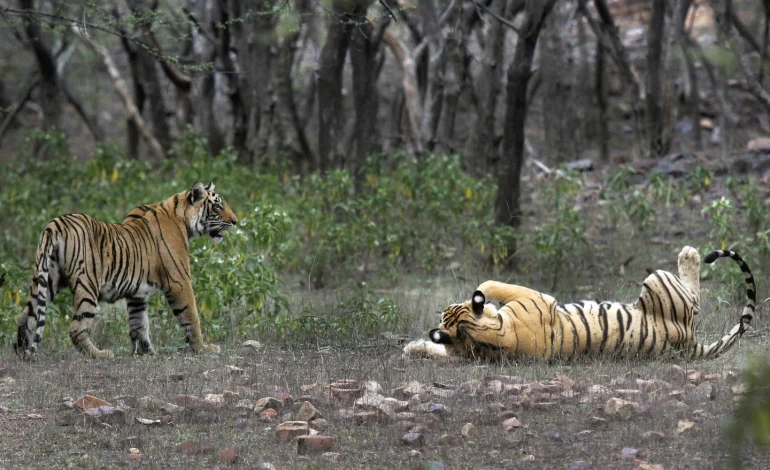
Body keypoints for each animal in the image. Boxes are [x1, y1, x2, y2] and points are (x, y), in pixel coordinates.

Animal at [13, 182, 237, 358]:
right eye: (218, 206)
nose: (235, 221)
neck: (182, 219)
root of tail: (55, 224)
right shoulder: (179, 281)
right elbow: (191, 316)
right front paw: (203, 348)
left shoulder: (137, 293)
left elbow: (139, 323)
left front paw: (146, 352)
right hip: (87, 283)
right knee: (77, 328)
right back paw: (100, 354)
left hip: (48, 278)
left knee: (26, 316)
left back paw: (21, 352)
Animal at [404, 246, 752, 360]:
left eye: (445, 312)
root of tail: (689, 342)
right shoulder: (536, 297)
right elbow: (490, 285)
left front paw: (413, 347)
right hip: (657, 280)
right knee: (695, 298)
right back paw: (690, 254)